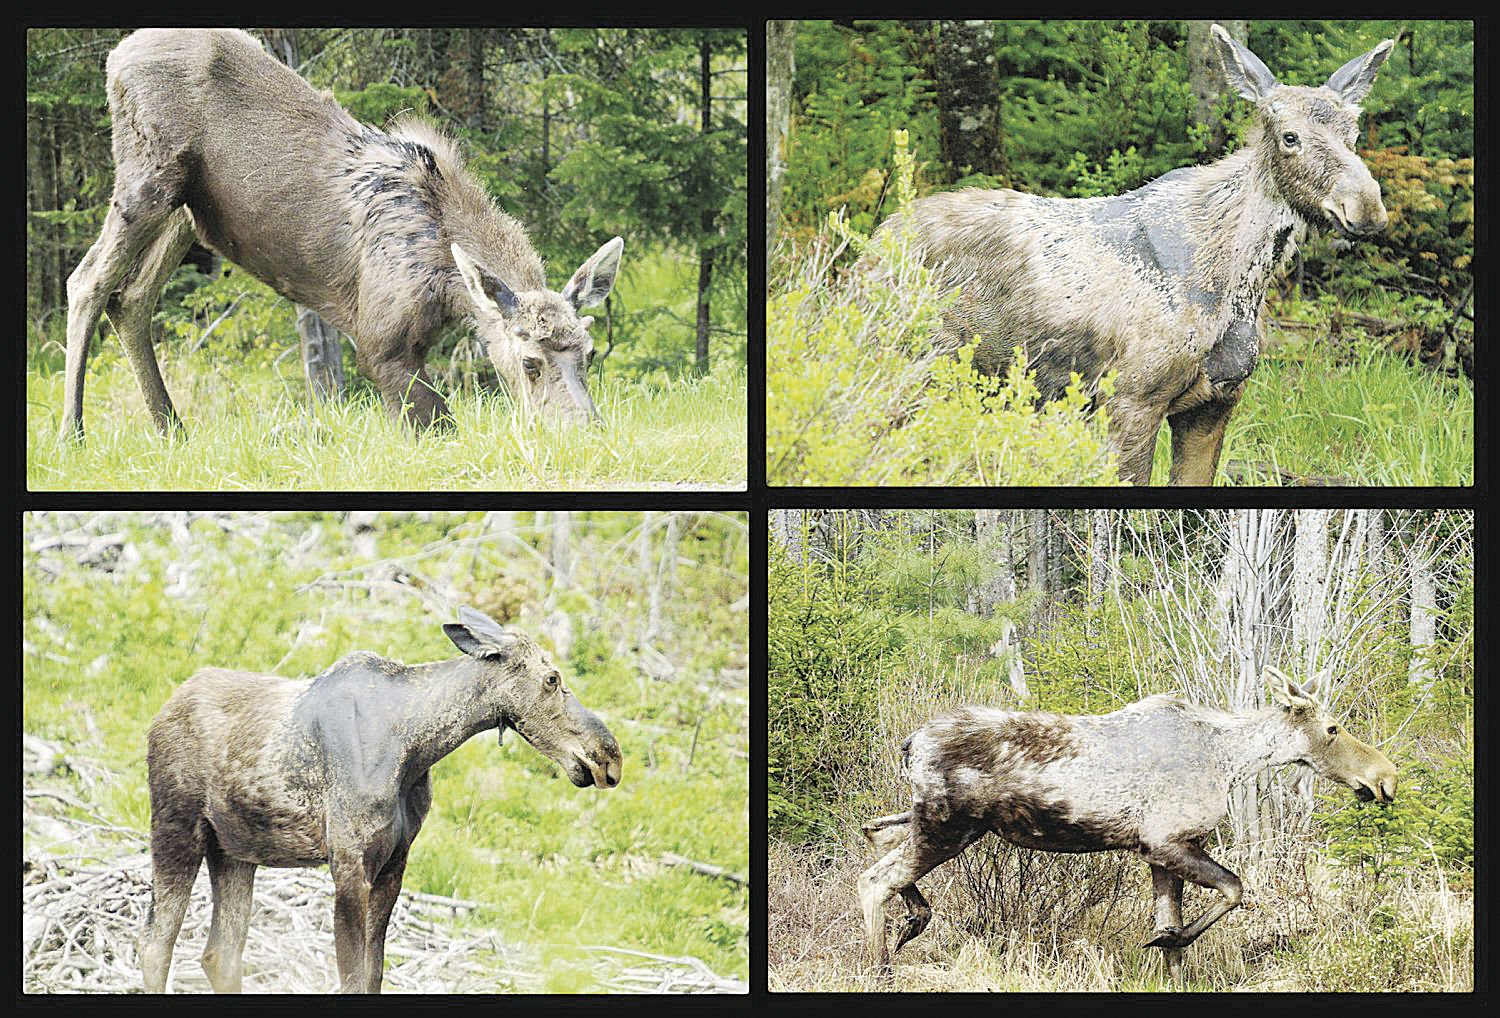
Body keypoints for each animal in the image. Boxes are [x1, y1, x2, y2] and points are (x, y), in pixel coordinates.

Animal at [61, 27, 624, 440]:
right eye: (530, 362)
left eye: (589, 353)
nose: (586, 431)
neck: (445, 280)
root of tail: (115, 56)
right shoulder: (380, 341)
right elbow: (439, 425)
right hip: (148, 175)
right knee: (87, 280)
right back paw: (73, 434)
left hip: (185, 210)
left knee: (132, 297)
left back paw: (170, 429)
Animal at [141, 608, 621, 989]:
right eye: (552, 678)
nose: (609, 755)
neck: (416, 745)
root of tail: (160, 714)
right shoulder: (350, 862)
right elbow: (352, 978)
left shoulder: (395, 862)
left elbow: (374, 974)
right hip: (175, 828)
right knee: (154, 946)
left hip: (236, 851)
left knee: (219, 954)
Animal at [864, 668, 1398, 989]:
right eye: (1332, 728)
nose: (1385, 778)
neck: (1231, 761)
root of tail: (909, 742)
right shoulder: (1165, 842)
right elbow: (1234, 888)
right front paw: (1168, 940)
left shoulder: (1162, 853)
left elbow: (1175, 933)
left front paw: (1169, 946)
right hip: (948, 824)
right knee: (874, 879)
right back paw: (880, 968)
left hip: (939, 821)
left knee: (876, 834)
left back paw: (913, 920)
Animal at [882, 25, 1398, 482]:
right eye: (1290, 137)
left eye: (1354, 134)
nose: (1366, 206)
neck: (1239, 287)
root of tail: (878, 238)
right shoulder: (1131, 399)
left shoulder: (1216, 403)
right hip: (911, 367)